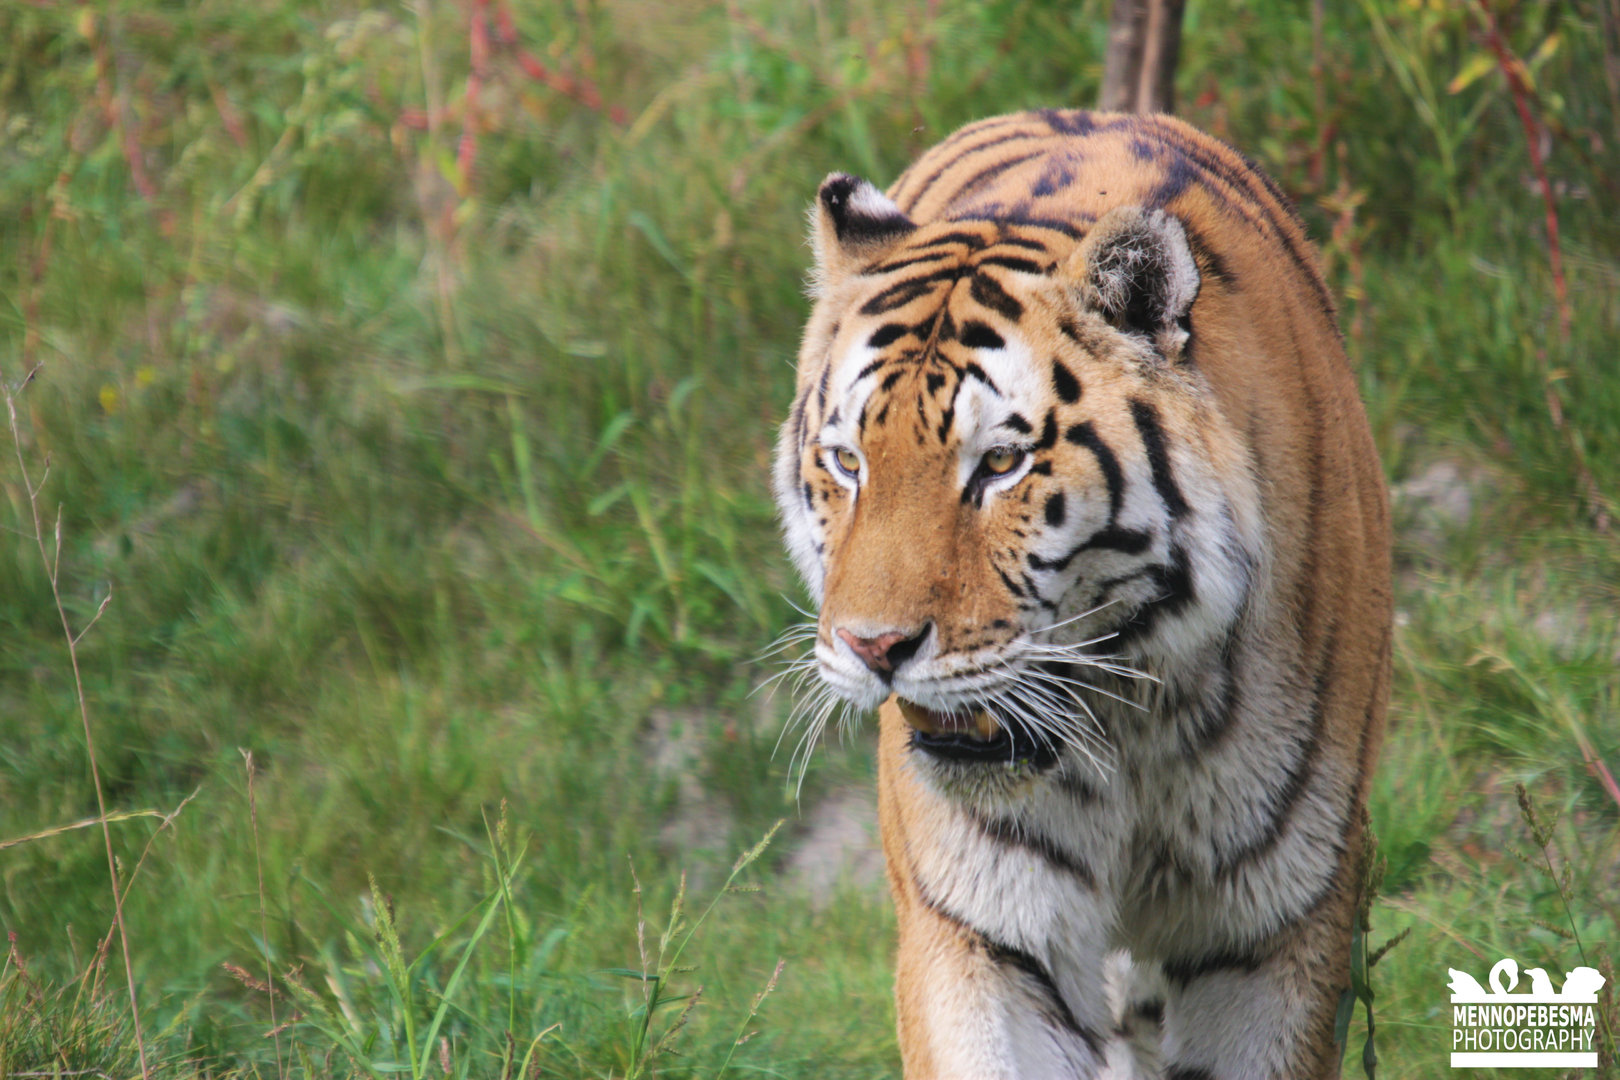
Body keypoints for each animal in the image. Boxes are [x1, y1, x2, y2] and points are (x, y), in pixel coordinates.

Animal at [772, 109, 1391, 1079]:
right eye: (847, 462)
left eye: (999, 463)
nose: (873, 648)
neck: (1129, 724)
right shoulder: (981, 929)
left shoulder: (1276, 932)